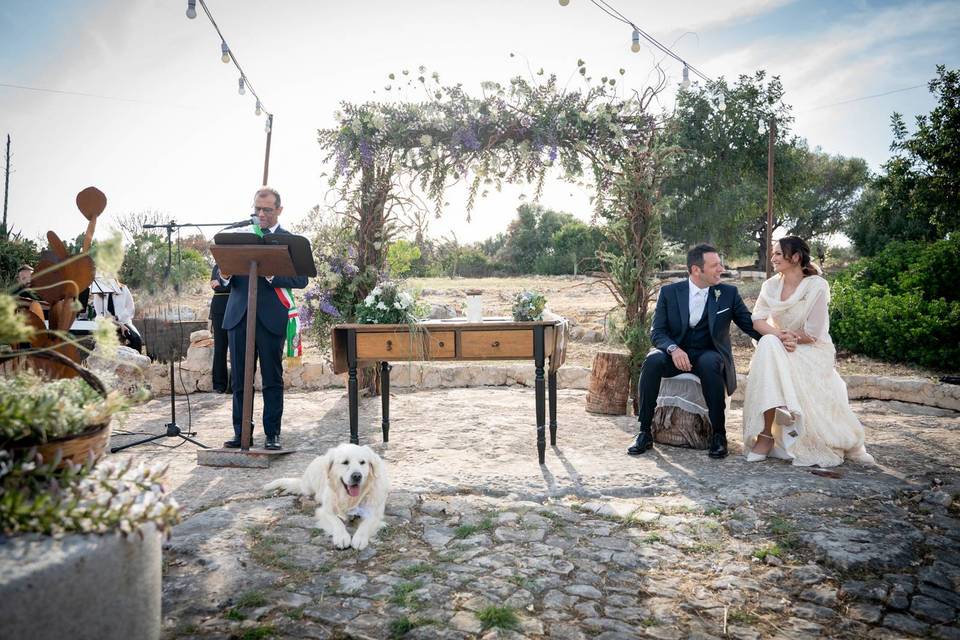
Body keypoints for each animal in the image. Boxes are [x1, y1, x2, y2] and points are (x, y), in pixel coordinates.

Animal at [262, 444, 390, 552]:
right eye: (345, 462)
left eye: (362, 462)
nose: (357, 476)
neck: (350, 499)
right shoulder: (326, 511)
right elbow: (337, 522)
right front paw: (342, 537)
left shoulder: (374, 513)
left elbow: (366, 524)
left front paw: (359, 538)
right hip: (308, 486)